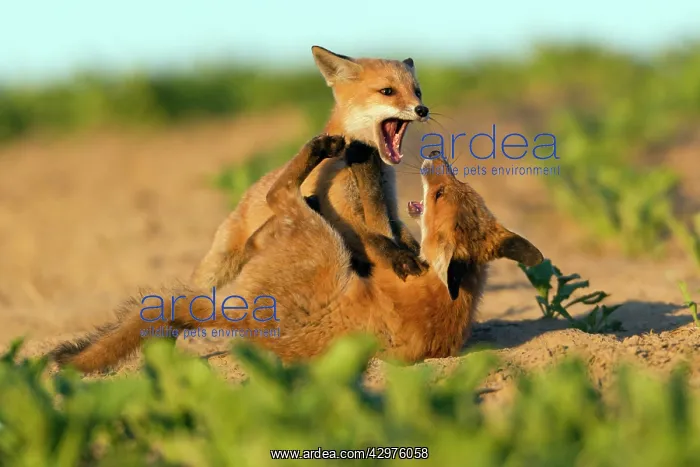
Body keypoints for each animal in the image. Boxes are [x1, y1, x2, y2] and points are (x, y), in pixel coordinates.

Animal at [49, 135, 544, 373]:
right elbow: (385, 232)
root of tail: (243, 320)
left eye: (440, 193)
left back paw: (325, 152)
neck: (451, 292)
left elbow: (375, 232)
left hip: (322, 244)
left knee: (279, 194)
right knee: (268, 216)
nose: (436, 156)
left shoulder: (380, 261)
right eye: (455, 188)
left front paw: (363, 161)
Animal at [191, 45, 432, 289]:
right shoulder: (340, 214)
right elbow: (377, 242)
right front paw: (402, 260)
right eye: (387, 91)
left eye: (417, 92)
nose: (422, 110)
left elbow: (406, 238)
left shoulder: (391, 210)